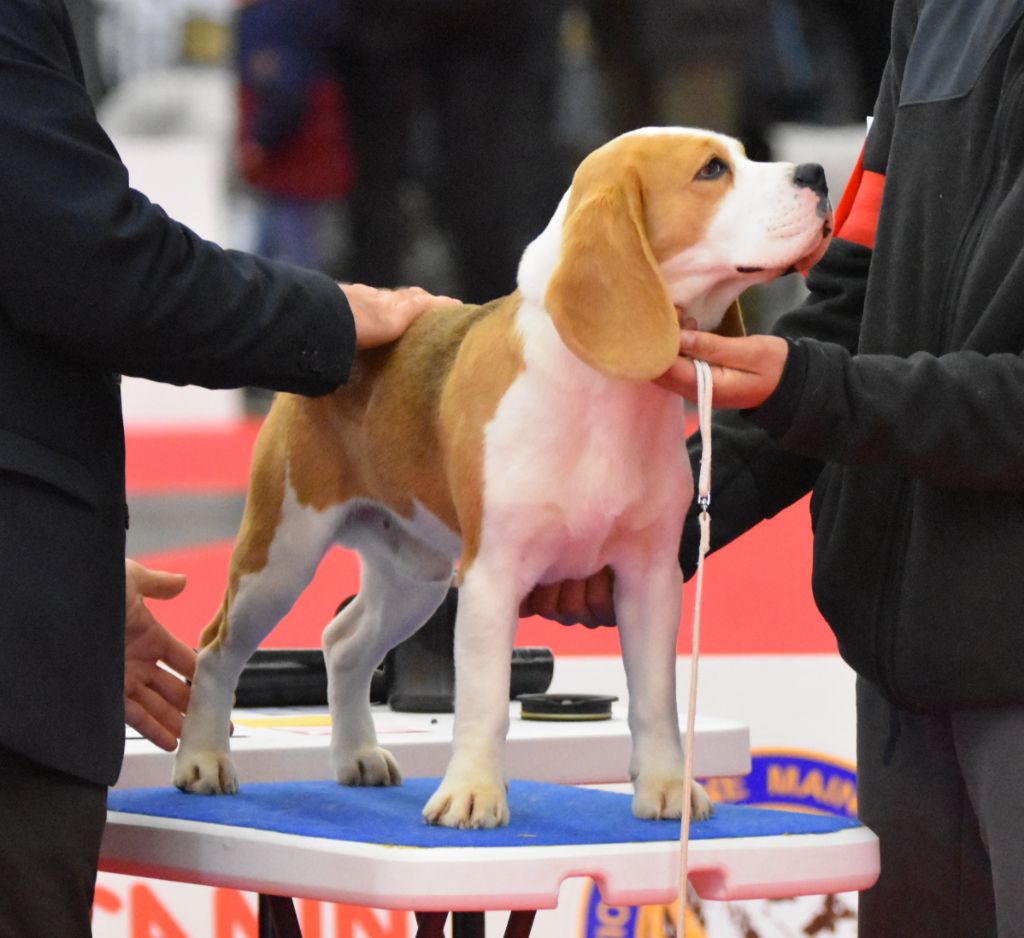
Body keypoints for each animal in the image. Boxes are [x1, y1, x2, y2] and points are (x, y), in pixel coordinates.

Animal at [176, 130, 831, 827]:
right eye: (711, 170)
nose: (818, 174)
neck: (602, 392)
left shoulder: (650, 578)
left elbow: (656, 699)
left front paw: (666, 789)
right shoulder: (491, 577)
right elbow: (486, 702)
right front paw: (472, 793)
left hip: (415, 577)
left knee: (343, 643)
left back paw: (356, 754)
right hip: (281, 557)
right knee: (215, 649)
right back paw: (203, 759)